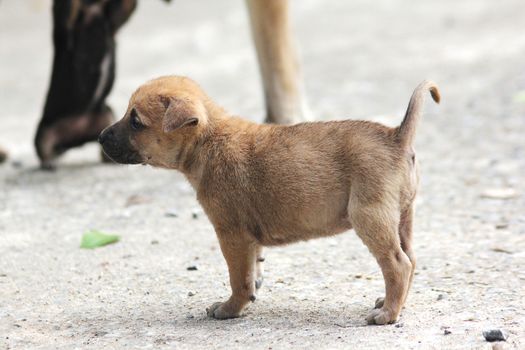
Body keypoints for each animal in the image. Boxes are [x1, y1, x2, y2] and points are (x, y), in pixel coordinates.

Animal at [97, 76, 438, 326]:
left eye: (136, 121)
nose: (100, 137)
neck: (208, 140)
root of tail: (396, 136)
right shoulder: (247, 238)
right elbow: (252, 269)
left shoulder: (231, 235)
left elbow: (239, 279)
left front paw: (230, 308)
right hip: (402, 218)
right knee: (410, 259)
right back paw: (392, 302)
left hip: (370, 217)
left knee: (398, 264)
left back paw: (387, 313)